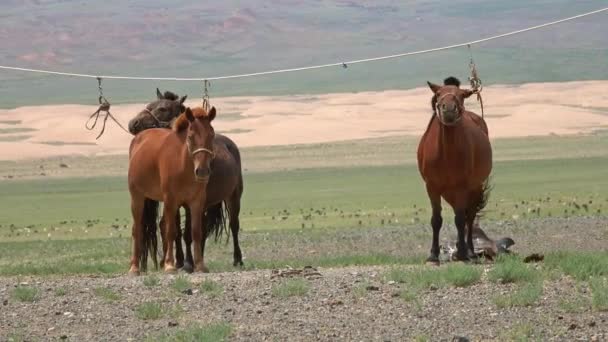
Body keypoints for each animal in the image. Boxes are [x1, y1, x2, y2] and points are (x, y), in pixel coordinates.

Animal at [127, 105, 217, 274]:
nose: (202, 171)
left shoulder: (197, 202)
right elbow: (171, 232)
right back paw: (134, 267)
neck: (183, 163)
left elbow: (196, 232)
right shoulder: (171, 200)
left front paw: (200, 265)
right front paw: (170, 265)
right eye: (190, 136)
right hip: (137, 197)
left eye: (212, 135)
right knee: (137, 230)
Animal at [418, 77, 494, 264]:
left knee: (469, 217)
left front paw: (462, 254)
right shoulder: (432, 187)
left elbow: (460, 220)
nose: (449, 109)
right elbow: (436, 220)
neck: (446, 154)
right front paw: (433, 255)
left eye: (461, 95)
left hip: (474, 188)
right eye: (438, 93)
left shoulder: (461, 186)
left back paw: (470, 251)